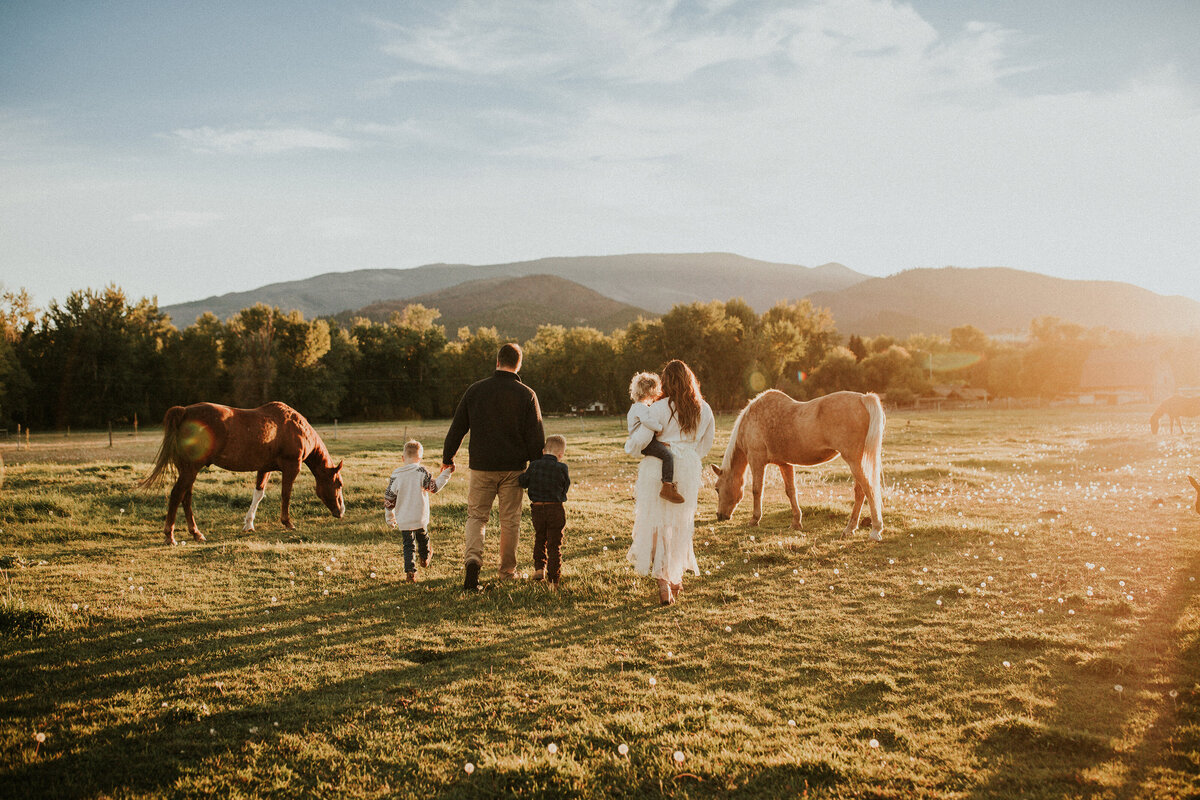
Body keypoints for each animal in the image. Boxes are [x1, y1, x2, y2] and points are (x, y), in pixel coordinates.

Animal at [143, 402, 348, 546]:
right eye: (338, 484)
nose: (341, 512)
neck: (296, 428)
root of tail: (184, 412)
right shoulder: (292, 467)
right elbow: (286, 494)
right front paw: (287, 522)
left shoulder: (264, 468)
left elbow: (258, 494)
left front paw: (249, 524)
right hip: (190, 470)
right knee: (177, 495)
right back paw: (170, 536)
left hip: (188, 471)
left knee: (186, 498)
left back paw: (196, 533)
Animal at [705, 391, 888, 542]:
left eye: (717, 488)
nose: (720, 516)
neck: (752, 420)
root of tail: (863, 398)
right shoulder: (785, 464)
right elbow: (791, 491)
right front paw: (796, 523)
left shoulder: (756, 460)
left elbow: (757, 490)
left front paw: (754, 520)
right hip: (856, 461)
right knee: (860, 492)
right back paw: (850, 529)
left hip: (853, 461)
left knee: (868, 489)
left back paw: (875, 530)